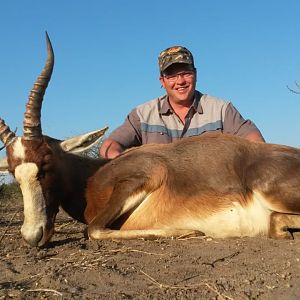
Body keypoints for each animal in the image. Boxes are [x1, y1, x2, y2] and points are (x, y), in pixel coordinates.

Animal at [0, 34, 300, 247]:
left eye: (45, 163)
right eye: (14, 172)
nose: (32, 236)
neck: (94, 176)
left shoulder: (147, 174)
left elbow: (93, 229)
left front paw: (190, 231)